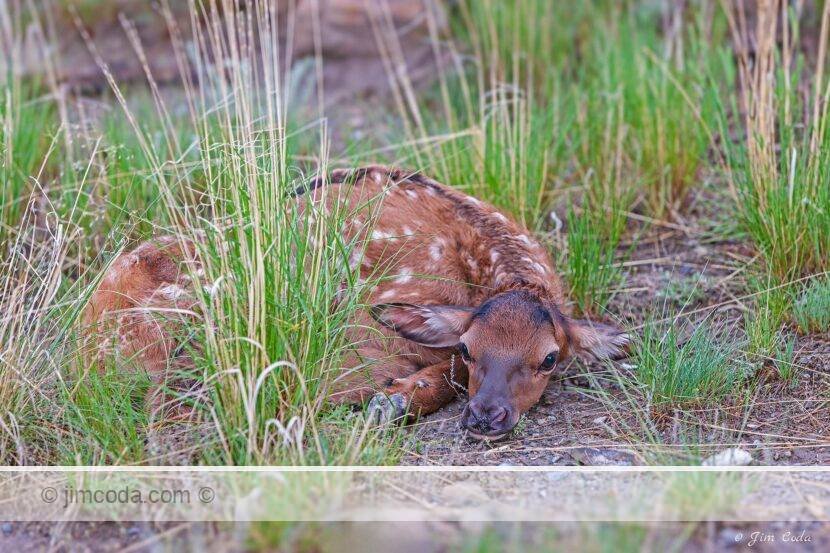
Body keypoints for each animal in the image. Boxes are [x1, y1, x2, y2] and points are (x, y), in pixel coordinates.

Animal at [84, 165, 629, 440]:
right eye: (470, 347)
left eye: (549, 359)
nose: (485, 418)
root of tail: (83, 348)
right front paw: (392, 401)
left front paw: (394, 400)